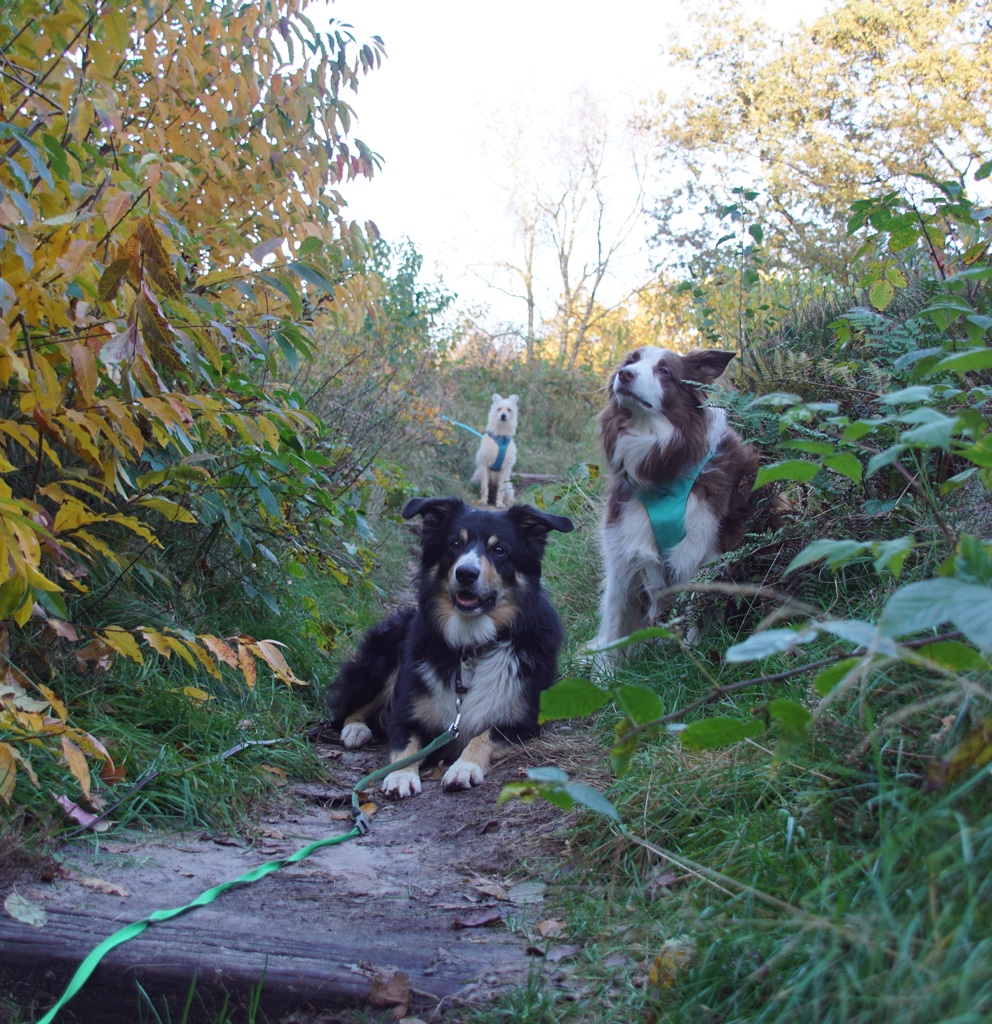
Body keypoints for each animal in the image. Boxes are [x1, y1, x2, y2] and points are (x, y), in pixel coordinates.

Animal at [328, 496, 574, 799]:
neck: (472, 645)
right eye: (455, 543)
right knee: (349, 708)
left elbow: (484, 736)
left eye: (499, 550)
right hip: (387, 651)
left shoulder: (525, 721)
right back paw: (355, 730)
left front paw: (463, 767)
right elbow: (405, 746)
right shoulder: (405, 714)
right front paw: (399, 775)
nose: (466, 573)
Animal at [593, 346, 760, 660]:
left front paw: (690, 657)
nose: (625, 374)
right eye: (631, 361)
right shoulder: (622, 546)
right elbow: (615, 620)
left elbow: (696, 609)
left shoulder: (702, 549)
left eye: (665, 371)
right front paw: (606, 669)